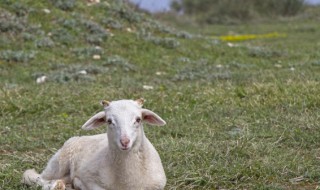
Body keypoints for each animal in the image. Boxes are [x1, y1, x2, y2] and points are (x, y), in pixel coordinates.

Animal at [21, 98, 168, 189]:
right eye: (109, 121)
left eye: (138, 119)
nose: (125, 142)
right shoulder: (90, 179)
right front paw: (76, 184)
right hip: (58, 163)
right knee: (36, 178)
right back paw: (55, 185)